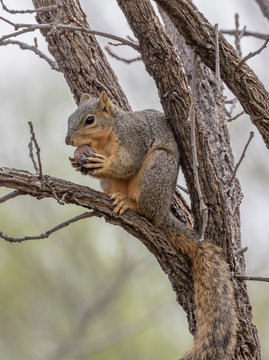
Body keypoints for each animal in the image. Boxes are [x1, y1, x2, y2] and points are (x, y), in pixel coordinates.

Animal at [65, 91, 237, 358]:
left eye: (89, 120)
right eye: (69, 118)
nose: (67, 140)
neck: (106, 138)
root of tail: (162, 210)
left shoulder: (133, 139)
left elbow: (128, 162)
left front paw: (103, 164)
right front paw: (78, 163)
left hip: (156, 169)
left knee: (146, 208)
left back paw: (132, 205)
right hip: (113, 184)